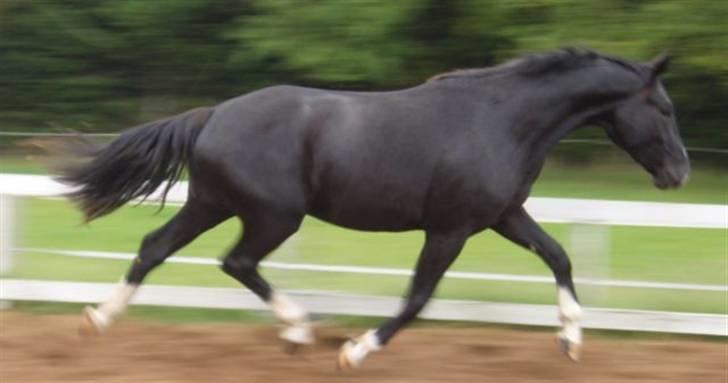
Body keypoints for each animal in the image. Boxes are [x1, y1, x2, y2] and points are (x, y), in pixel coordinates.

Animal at [58, 48, 688, 368]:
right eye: (661, 108)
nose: (679, 172)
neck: (502, 120)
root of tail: (212, 114)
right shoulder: (451, 228)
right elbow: (417, 298)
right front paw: (355, 351)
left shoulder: (503, 216)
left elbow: (558, 257)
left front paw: (571, 340)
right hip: (272, 215)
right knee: (236, 263)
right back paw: (300, 331)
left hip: (214, 204)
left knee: (155, 249)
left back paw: (97, 319)